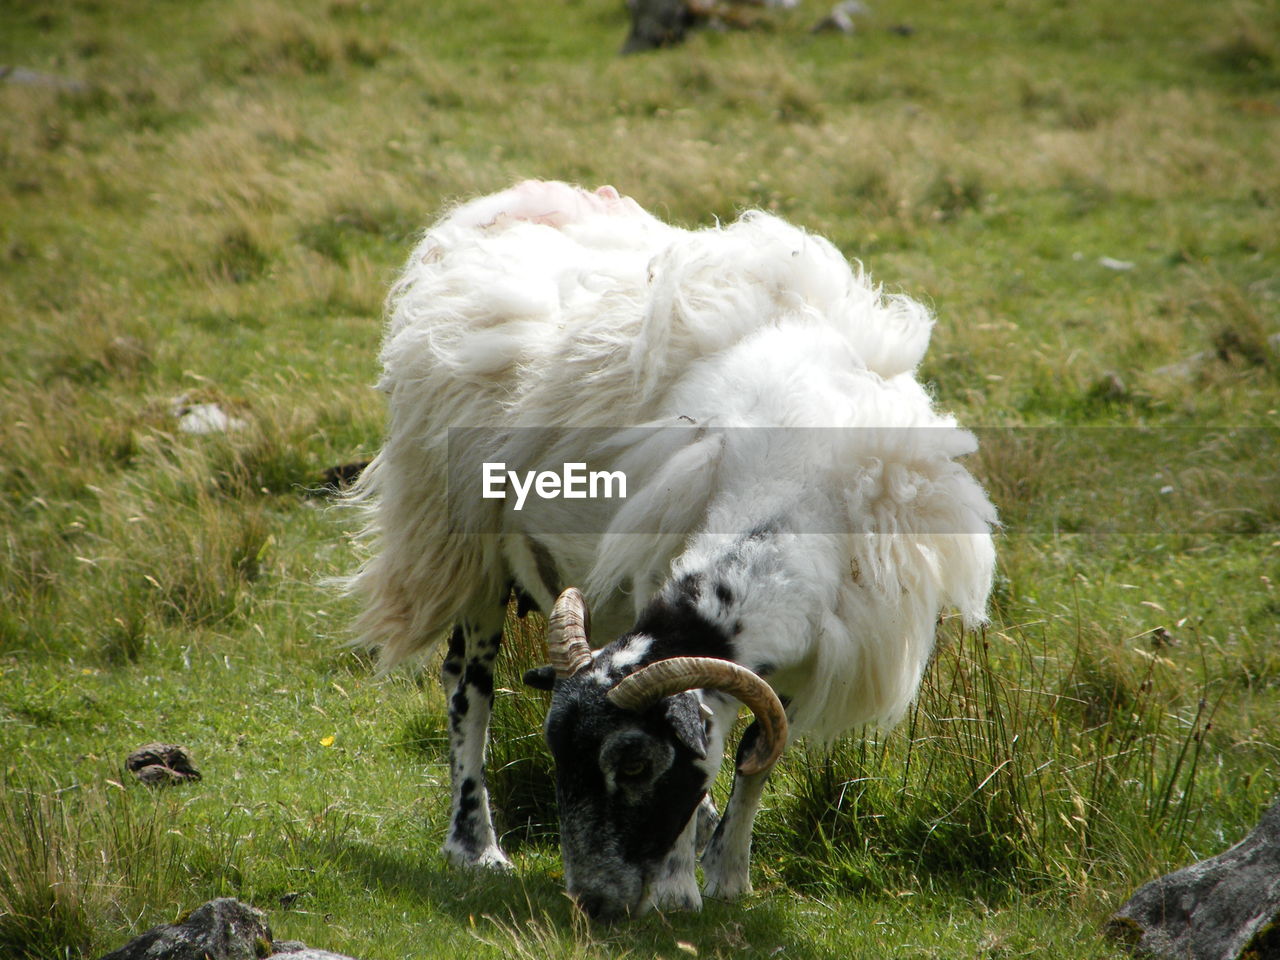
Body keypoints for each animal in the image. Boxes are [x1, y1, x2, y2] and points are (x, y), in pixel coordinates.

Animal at [343, 181, 998, 926]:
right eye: (560, 758)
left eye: (633, 765)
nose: (593, 901)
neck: (796, 482)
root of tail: (501, 201)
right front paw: (681, 889)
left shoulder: (797, 658)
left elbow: (754, 757)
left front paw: (729, 872)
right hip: (465, 545)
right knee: (467, 686)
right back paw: (475, 844)